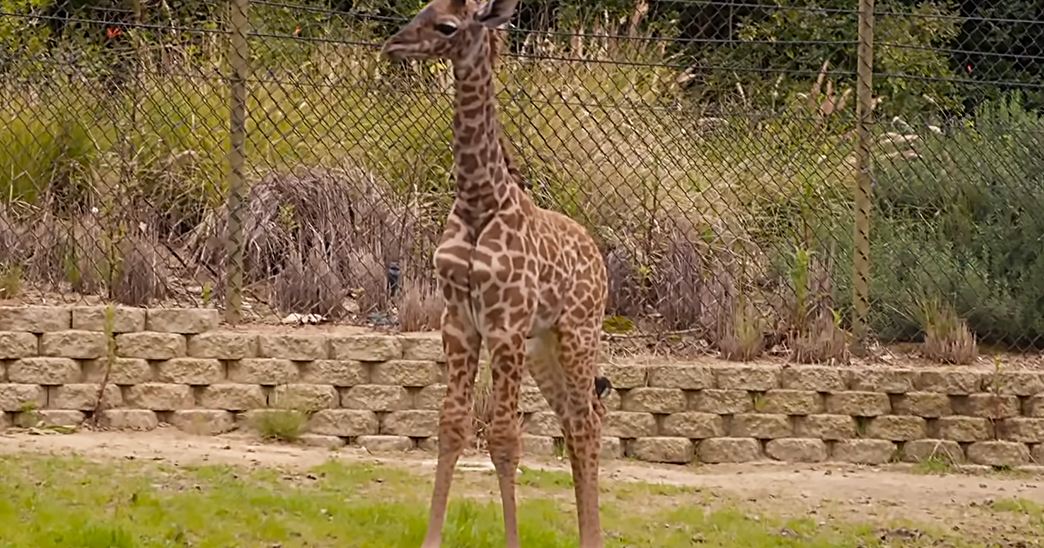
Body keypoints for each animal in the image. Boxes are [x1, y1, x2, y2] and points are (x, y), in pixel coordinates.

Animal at [381, 1, 609, 547]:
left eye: (447, 25)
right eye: (421, 9)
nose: (392, 45)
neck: (479, 199)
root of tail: (598, 256)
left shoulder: (504, 325)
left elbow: (505, 437)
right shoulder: (460, 321)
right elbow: (451, 425)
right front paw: (431, 539)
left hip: (577, 332)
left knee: (587, 422)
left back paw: (592, 538)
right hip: (543, 345)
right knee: (574, 420)